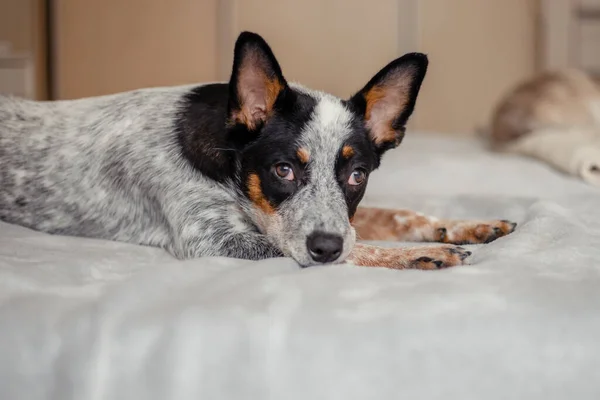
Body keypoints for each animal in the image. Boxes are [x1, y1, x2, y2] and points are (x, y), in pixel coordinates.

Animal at [0, 31, 516, 268]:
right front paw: (415, 255)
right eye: (283, 170)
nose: (324, 246)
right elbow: (347, 247)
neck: (229, 166)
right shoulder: (214, 240)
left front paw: (460, 225)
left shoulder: (338, 215)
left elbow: (385, 217)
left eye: (357, 176)